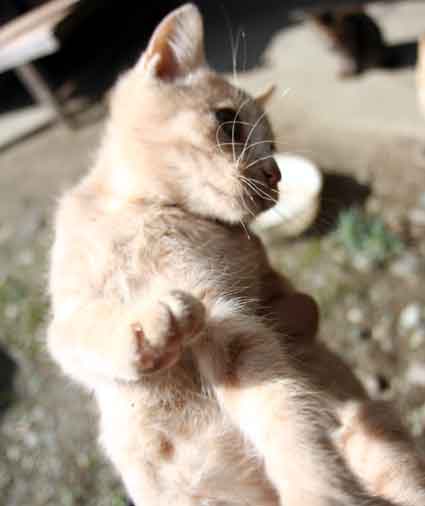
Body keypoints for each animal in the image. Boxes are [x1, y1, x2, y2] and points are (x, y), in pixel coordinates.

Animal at [47, 4, 425, 506]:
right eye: (228, 121)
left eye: (275, 148)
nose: (275, 174)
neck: (141, 210)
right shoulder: (67, 316)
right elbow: (81, 333)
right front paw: (143, 327)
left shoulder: (228, 317)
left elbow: (288, 420)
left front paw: (316, 486)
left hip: (370, 428)